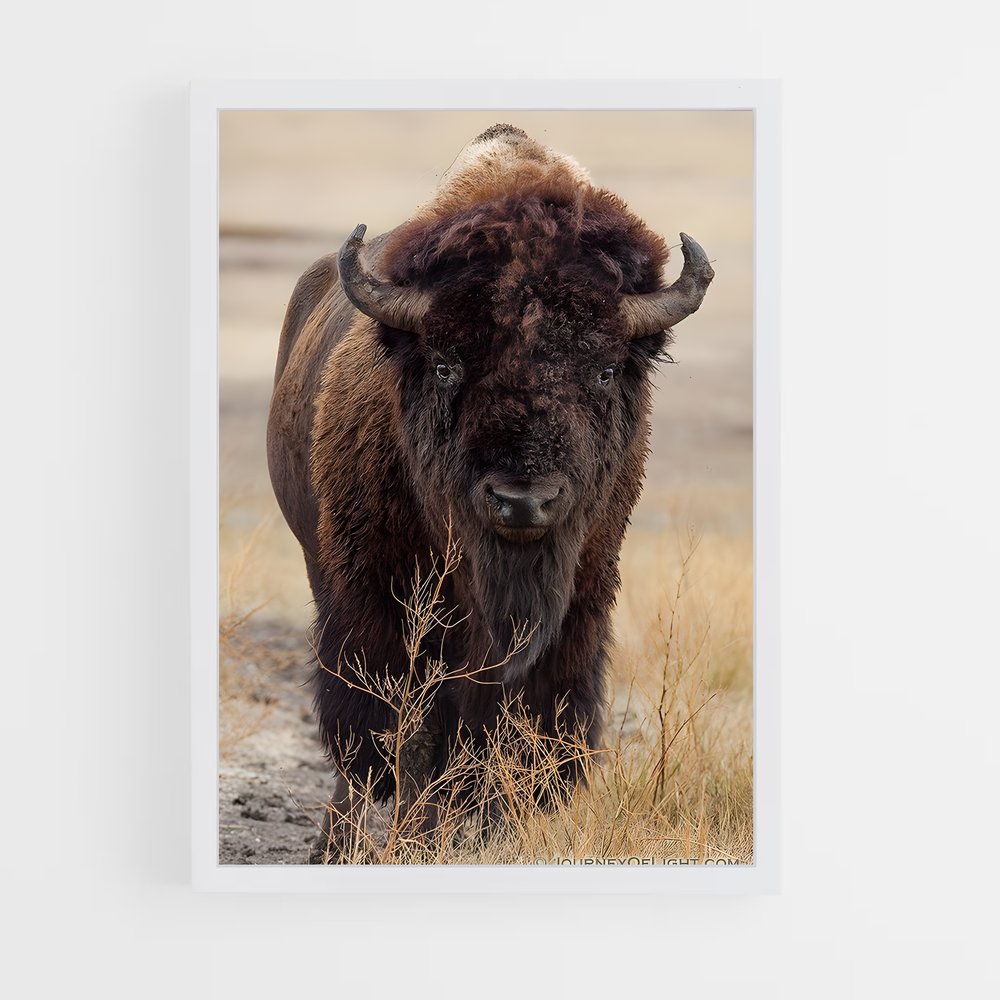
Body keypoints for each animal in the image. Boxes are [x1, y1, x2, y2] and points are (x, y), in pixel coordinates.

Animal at [266, 124, 714, 860]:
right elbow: (404, 733)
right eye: (447, 363)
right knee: (363, 745)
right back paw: (339, 842)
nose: (522, 500)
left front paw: (501, 828)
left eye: (604, 368)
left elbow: (522, 727)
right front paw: (416, 837)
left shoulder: (577, 604)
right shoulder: (380, 602)